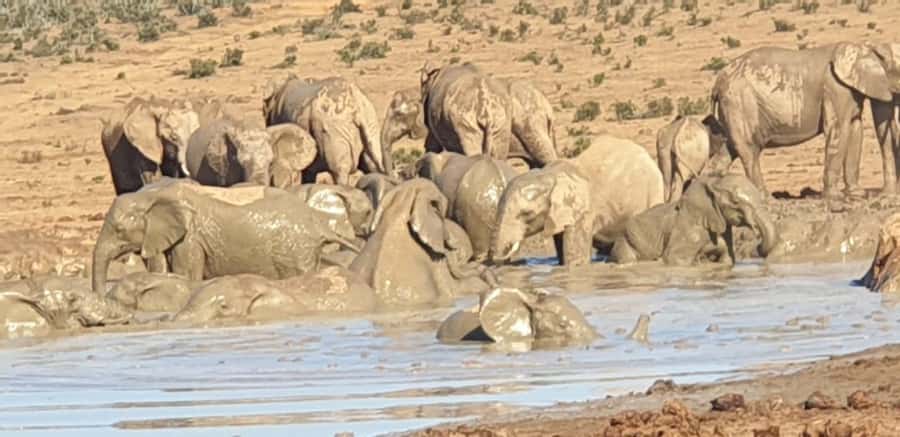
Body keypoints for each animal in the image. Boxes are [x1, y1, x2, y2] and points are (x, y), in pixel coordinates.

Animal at [91, 180, 359, 294]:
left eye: (119, 230)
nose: (101, 297)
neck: (153, 194)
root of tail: (317, 222)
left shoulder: (191, 237)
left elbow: (185, 273)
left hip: (294, 251)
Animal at [609, 175, 781, 266]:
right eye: (736, 202)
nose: (757, 246)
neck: (714, 183)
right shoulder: (689, 224)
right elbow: (675, 258)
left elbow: (727, 257)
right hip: (624, 242)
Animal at [708, 43, 900, 199]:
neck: (866, 48)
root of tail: (717, 83)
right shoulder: (835, 87)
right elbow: (839, 130)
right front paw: (835, 197)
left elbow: (855, 130)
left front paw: (856, 195)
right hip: (740, 102)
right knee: (749, 150)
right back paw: (765, 198)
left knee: (730, 148)